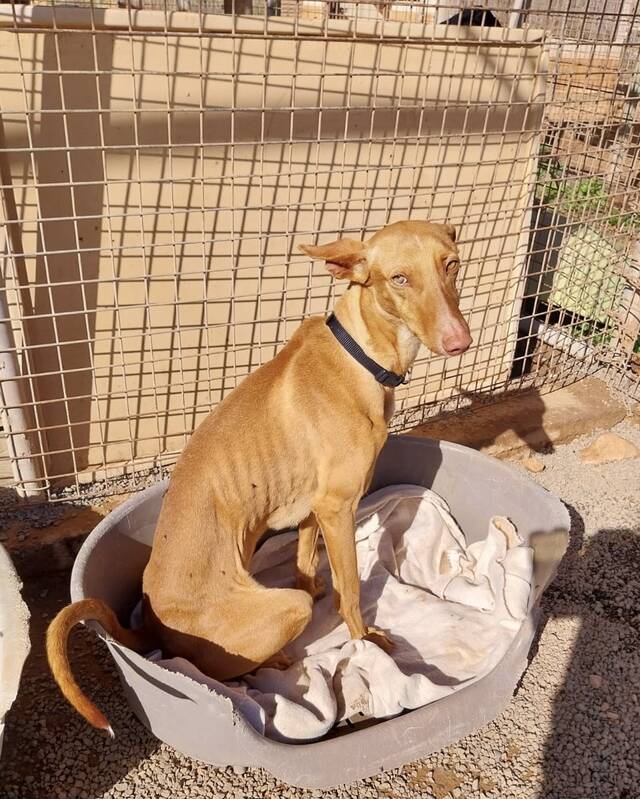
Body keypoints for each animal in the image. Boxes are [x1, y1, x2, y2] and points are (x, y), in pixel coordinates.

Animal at [47, 220, 472, 734]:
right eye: (399, 278)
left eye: (451, 264)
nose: (459, 340)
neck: (360, 354)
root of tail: (146, 625)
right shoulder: (338, 508)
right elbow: (351, 591)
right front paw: (366, 640)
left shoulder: (315, 509)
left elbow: (305, 562)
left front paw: (317, 585)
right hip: (276, 613)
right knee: (222, 671)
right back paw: (277, 663)